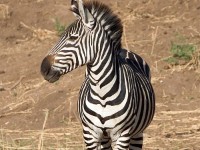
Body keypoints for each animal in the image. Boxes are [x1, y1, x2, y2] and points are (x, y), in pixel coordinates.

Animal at [40, 0, 155, 149]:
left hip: (137, 133)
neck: (102, 94)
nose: (43, 68)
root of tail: (124, 51)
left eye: (73, 38)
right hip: (105, 138)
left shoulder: (123, 135)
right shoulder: (89, 134)